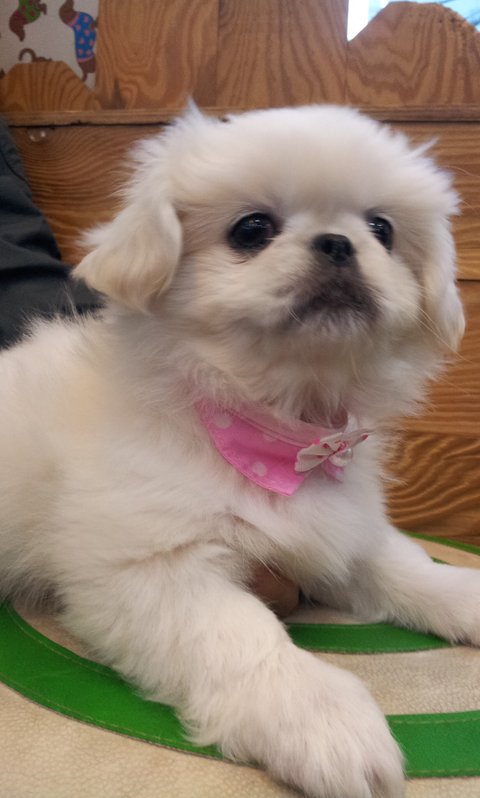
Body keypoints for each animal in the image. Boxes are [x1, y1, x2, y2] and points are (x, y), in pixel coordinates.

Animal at [0, 104, 477, 798]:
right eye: (251, 230)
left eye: (382, 230)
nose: (338, 242)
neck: (282, 432)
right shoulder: (150, 568)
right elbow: (243, 635)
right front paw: (323, 718)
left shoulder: (342, 528)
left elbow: (408, 567)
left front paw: (465, 594)